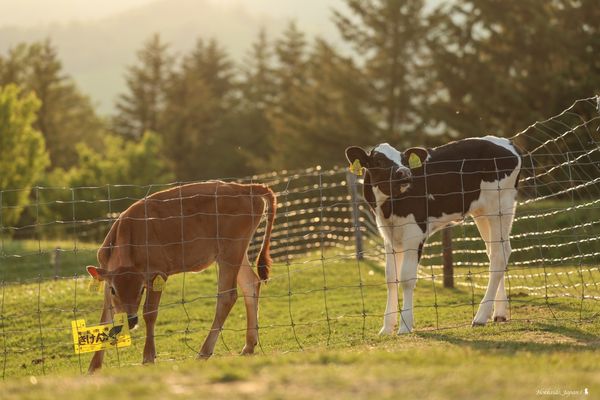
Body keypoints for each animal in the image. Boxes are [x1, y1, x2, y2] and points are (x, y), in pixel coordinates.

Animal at [85, 180, 276, 372]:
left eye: (141, 290)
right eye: (114, 290)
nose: (130, 320)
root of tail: (244, 188)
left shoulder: (158, 273)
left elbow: (149, 313)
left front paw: (148, 356)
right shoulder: (106, 276)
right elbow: (105, 317)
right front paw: (94, 366)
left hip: (231, 250)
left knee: (227, 297)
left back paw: (204, 352)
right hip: (235, 252)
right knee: (251, 283)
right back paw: (249, 345)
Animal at [346, 137, 520, 334]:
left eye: (404, 160)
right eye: (378, 161)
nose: (405, 172)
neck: (389, 207)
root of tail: (506, 142)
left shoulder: (414, 233)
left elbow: (406, 278)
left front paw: (405, 326)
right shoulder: (388, 236)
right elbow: (391, 278)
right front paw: (386, 328)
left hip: (500, 206)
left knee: (499, 256)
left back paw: (481, 316)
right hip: (482, 212)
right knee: (495, 251)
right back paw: (499, 313)